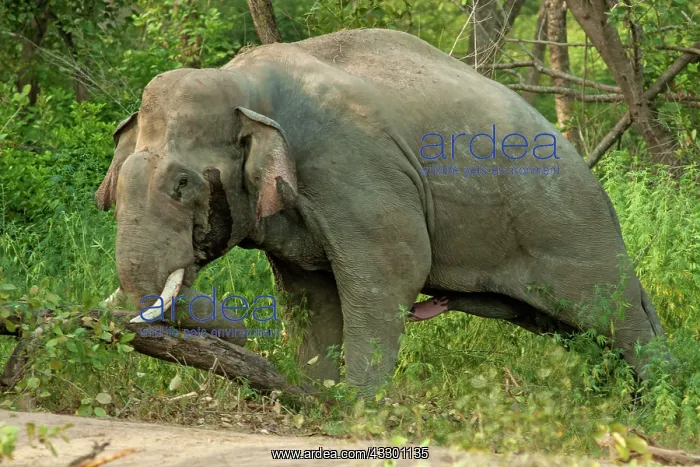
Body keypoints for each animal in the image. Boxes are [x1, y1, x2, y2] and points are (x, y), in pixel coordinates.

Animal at [96, 28, 665, 395]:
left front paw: (358, 407)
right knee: (587, 333)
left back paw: (660, 405)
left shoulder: (355, 168)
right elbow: (309, 292)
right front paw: (317, 398)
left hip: (570, 230)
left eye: (183, 185)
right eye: (114, 189)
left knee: (616, 320)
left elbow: (392, 271)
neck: (245, 83)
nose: (263, 366)